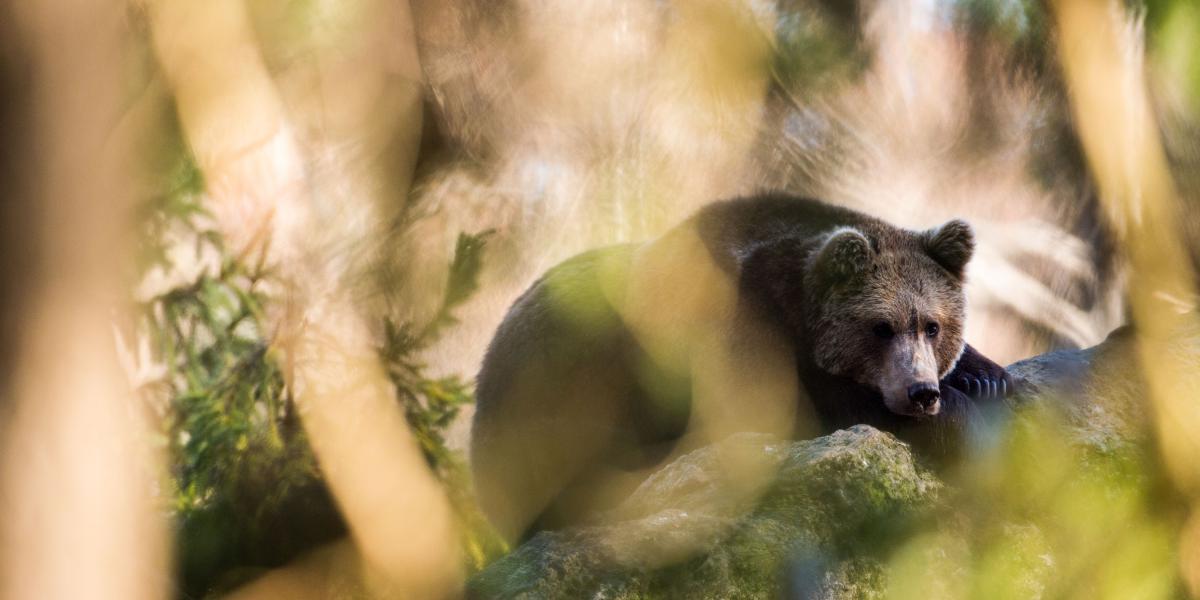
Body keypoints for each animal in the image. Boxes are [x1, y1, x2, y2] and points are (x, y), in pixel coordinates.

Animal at [468, 194, 1012, 542]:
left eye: (932, 326)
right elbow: (773, 416)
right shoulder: (734, 322)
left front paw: (986, 377)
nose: (921, 392)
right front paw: (966, 423)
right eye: (880, 327)